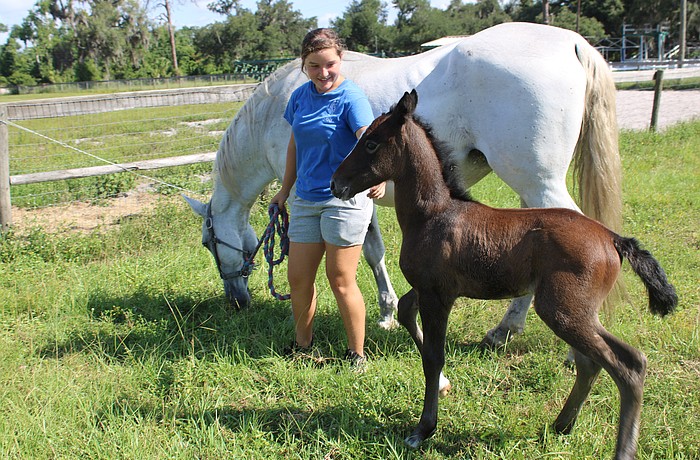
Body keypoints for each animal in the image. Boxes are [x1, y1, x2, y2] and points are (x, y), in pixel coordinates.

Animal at [185, 22, 622, 341]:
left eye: (208, 242)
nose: (236, 301)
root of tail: (571, 43)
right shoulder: (362, 196)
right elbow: (374, 251)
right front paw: (388, 310)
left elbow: (367, 253)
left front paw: (384, 313)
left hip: (540, 183)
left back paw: (511, 331)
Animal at [330, 90, 677, 458]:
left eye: (370, 143)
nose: (336, 182)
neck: (433, 215)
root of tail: (613, 238)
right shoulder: (426, 289)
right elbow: (407, 312)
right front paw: (442, 387)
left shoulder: (438, 295)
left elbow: (434, 357)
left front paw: (423, 429)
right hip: (578, 311)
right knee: (605, 361)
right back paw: (561, 425)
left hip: (562, 310)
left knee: (625, 367)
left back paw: (621, 447)